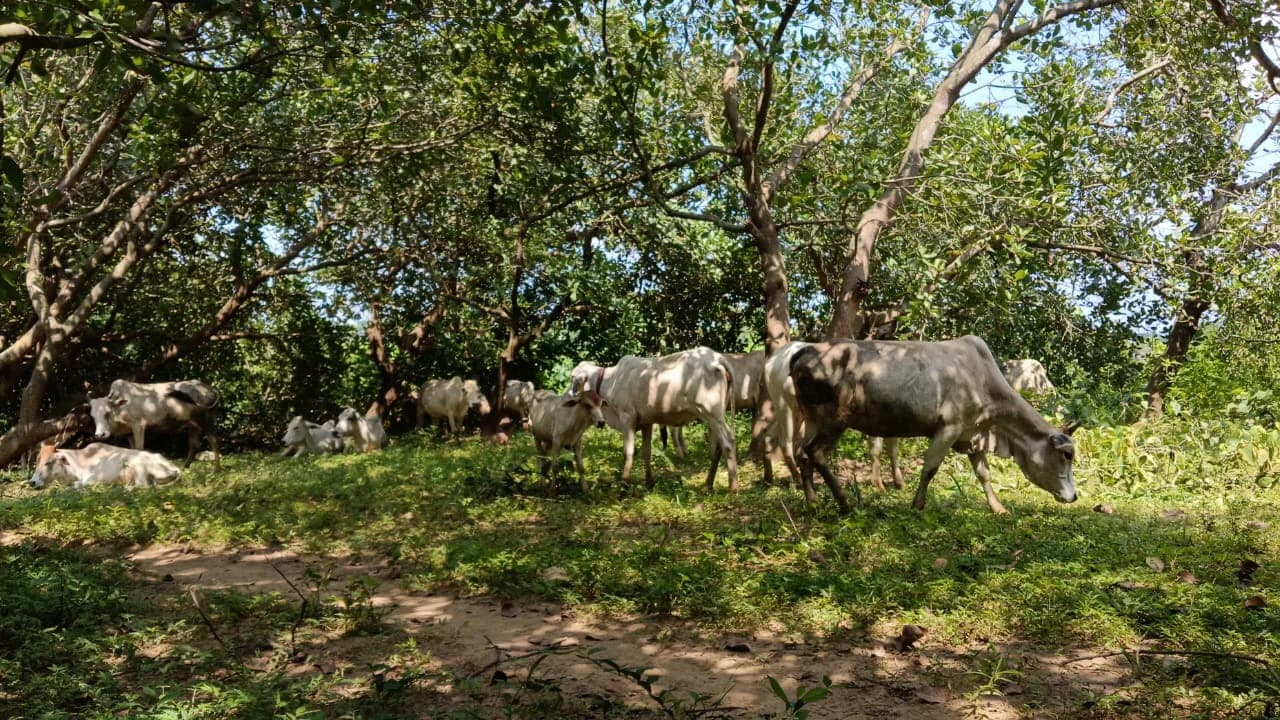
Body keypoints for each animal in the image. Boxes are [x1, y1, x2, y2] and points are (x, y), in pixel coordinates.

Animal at [29, 442, 181, 490]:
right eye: (36, 462)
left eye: (48, 462)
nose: (32, 482)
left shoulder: (95, 477)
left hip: (138, 464)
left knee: (143, 486)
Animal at [88, 379, 219, 467]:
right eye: (93, 416)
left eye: (107, 413)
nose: (100, 435)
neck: (121, 406)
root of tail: (209, 390)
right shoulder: (129, 432)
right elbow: (132, 450)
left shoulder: (139, 425)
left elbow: (139, 449)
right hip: (192, 425)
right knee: (194, 445)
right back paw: (184, 467)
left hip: (207, 419)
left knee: (213, 440)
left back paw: (216, 469)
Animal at [570, 347, 738, 492]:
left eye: (573, 377)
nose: (570, 394)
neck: (611, 382)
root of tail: (716, 357)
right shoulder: (646, 422)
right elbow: (647, 452)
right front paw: (649, 482)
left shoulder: (627, 420)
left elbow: (628, 452)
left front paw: (625, 483)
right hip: (714, 416)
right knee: (718, 448)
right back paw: (708, 485)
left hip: (711, 412)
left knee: (728, 441)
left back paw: (733, 486)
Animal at [788, 336, 1078, 515]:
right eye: (1066, 454)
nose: (1074, 497)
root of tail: (807, 350)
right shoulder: (948, 429)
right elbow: (930, 469)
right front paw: (917, 505)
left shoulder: (972, 435)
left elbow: (984, 474)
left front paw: (999, 508)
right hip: (833, 420)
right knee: (816, 453)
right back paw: (844, 503)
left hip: (812, 419)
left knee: (802, 453)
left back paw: (812, 502)